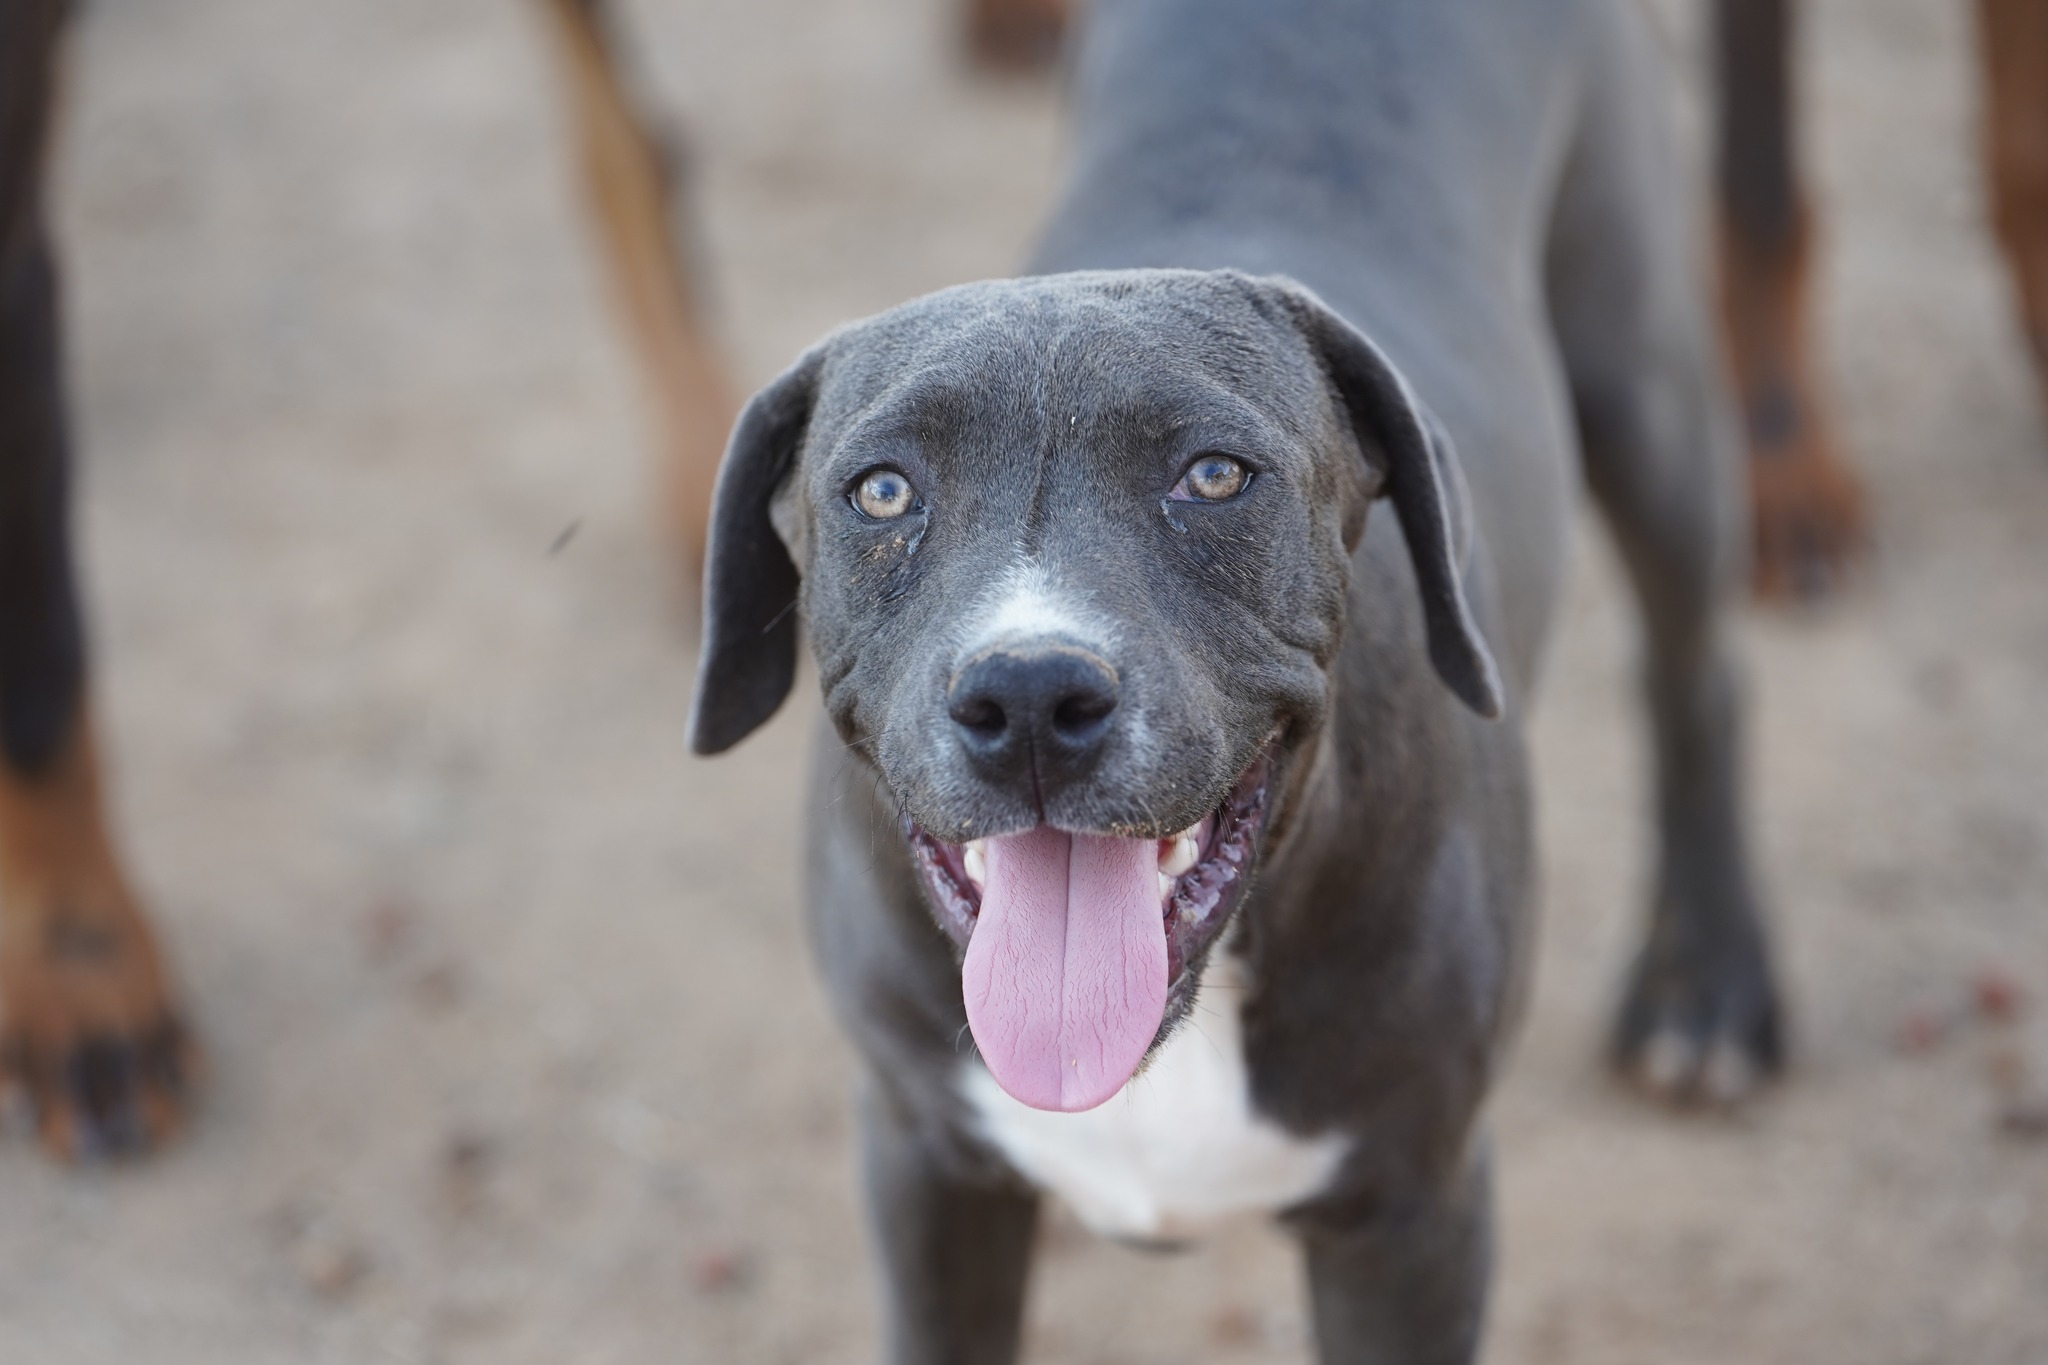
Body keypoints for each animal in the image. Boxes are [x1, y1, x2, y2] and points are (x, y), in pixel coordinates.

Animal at [684, 0, 1777, 1358]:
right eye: (881, 490)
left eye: (1212, 475)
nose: (1029, 697)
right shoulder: (926, 1165)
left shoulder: (1412, 1217)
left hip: (1643, 384)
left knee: (1695, 676)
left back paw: (1711, 994)